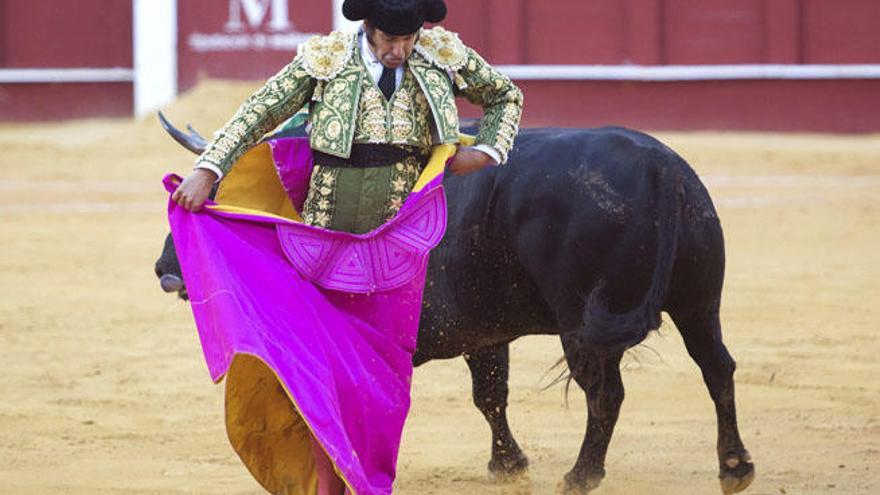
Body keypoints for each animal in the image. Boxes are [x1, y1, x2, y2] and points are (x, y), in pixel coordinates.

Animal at [155, 121, 752, 495]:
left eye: (226, 194)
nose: (165, 271)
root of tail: (660, 168)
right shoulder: (484, 334)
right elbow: (490, 395)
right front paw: (509, 467)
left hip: (582, 322)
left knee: (606, 394)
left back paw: (582, 476)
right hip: (700, 302)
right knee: (717, 368)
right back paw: (734, 467)